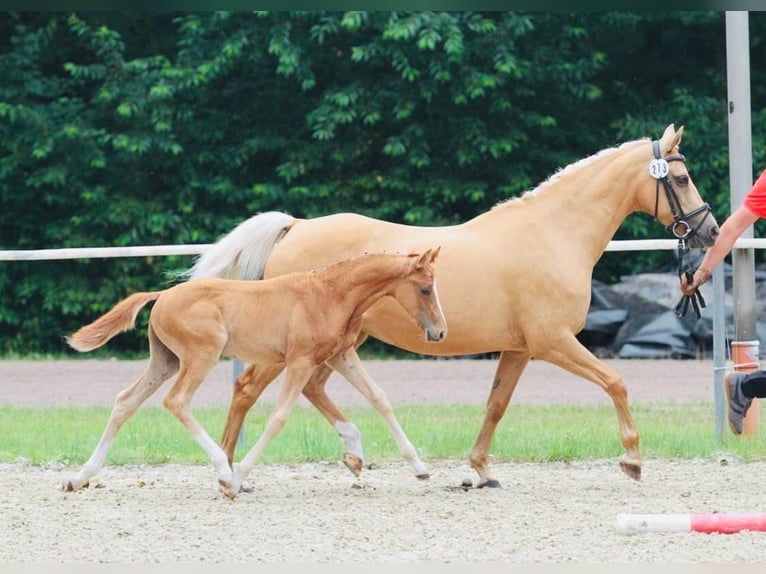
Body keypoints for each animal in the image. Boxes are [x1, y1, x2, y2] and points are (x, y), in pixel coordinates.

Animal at [66, 250, 450, 498]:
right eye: (425, 288)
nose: (439, 332)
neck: (330, 294)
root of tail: (162, 295)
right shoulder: (300, 360)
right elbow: (279, 417)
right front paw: (238, 478)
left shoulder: (340, 355)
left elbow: (379, 397)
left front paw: (417, 467)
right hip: (201, 356)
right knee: (177, 401)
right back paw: (224, 471)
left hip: (166, 360)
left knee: (124, 402)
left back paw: (81, 476)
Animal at [189, 124, 724, 488]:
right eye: (681, 177)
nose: (710, 231)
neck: (552, 235)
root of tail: (297, 225)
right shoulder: (553, 342)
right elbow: (616, 382)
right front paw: (632, 460)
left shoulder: (520, 349)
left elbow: (496, 405)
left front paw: (480, 470)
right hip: (296, 344)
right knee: (246, 388)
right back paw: (230, 470)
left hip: (340, 340)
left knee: (312, 388)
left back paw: (352, 457)